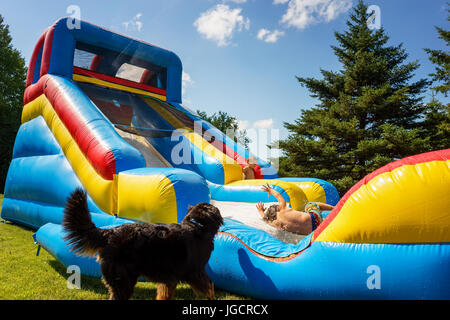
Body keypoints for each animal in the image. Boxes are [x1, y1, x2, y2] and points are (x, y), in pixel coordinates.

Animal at [62, 188, 224, 300]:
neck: (197, 226)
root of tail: (110, 233)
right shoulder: (196, 272)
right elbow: (210, 287)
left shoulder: (168, 278)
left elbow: (164, 295)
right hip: (124, 280)